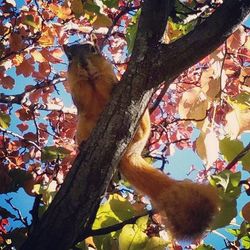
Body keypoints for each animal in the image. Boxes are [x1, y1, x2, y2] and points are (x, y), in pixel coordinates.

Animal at [63, 42, 220, 240]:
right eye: (69, 57)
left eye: (93, 49)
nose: (83, 64)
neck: (92, 82)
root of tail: (130, 154)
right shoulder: (79, 95)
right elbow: (82, 98)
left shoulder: (109, 77)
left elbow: (109, 84)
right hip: (82, 127)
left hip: (143, 117)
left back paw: (136, 133)